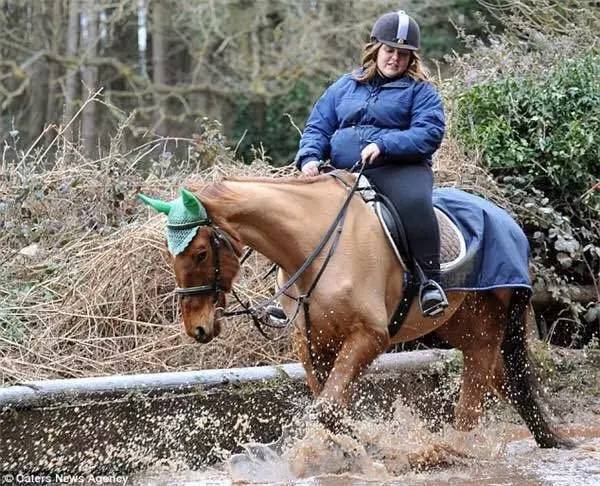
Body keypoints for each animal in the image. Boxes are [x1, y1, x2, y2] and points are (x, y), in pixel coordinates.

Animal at [141, 174, 572, 448]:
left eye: (200, 252)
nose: (196, 328)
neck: (315, 247)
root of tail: (507, 220)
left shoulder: (369, 337)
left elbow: (329, 408)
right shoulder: (311, 342)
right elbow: (330, 407)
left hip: (489, 322)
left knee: (475, 393)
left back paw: (457, 451)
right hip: (464, 325)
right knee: (504, 380)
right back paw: (547, 439)